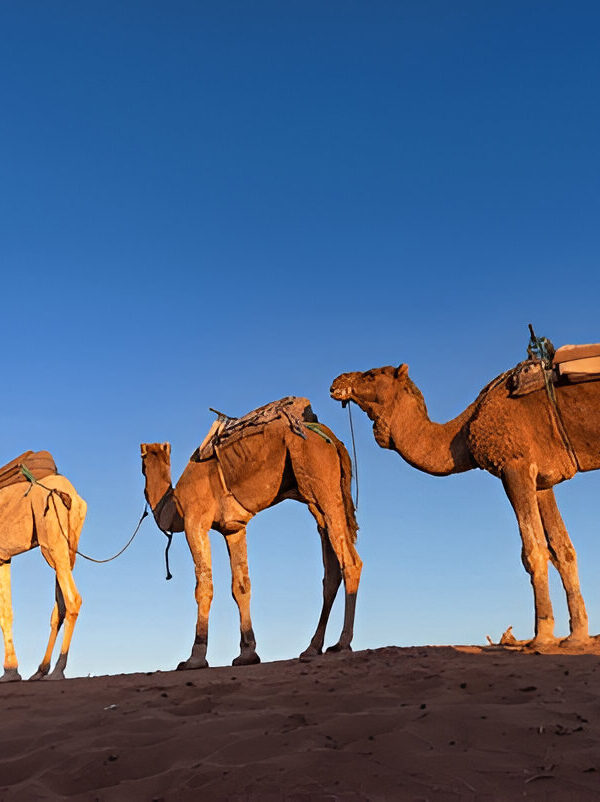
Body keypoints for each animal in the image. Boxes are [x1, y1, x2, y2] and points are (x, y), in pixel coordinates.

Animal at [0, 474, 87, 681]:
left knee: (73, 599)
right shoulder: (3, 557)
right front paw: (10, 671)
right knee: (60, 607)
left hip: (52, 542)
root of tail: (72, 495)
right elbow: (6, 612)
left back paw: (57, 671)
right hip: (68, 547)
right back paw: (41, 670)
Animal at [140, 403, 361, 669]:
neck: (173, 502)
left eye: (142, 461)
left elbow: (204, 586)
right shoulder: (234, 529)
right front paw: (247, 654)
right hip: (318, 496)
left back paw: (342, 644)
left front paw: (195, 658)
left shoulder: (196, 521)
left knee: (351, 562)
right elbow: (241, 586)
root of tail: (334, 441)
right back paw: (312, 647)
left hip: (319, 479)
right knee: (330, 569)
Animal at [330, 362, 600, 650]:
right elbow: (563, 551)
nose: (336, 382)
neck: (465, 428)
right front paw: (576, 637)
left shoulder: (514, 463)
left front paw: (543, 636)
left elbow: (534, 550)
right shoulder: (542, 480)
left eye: (371, 374)